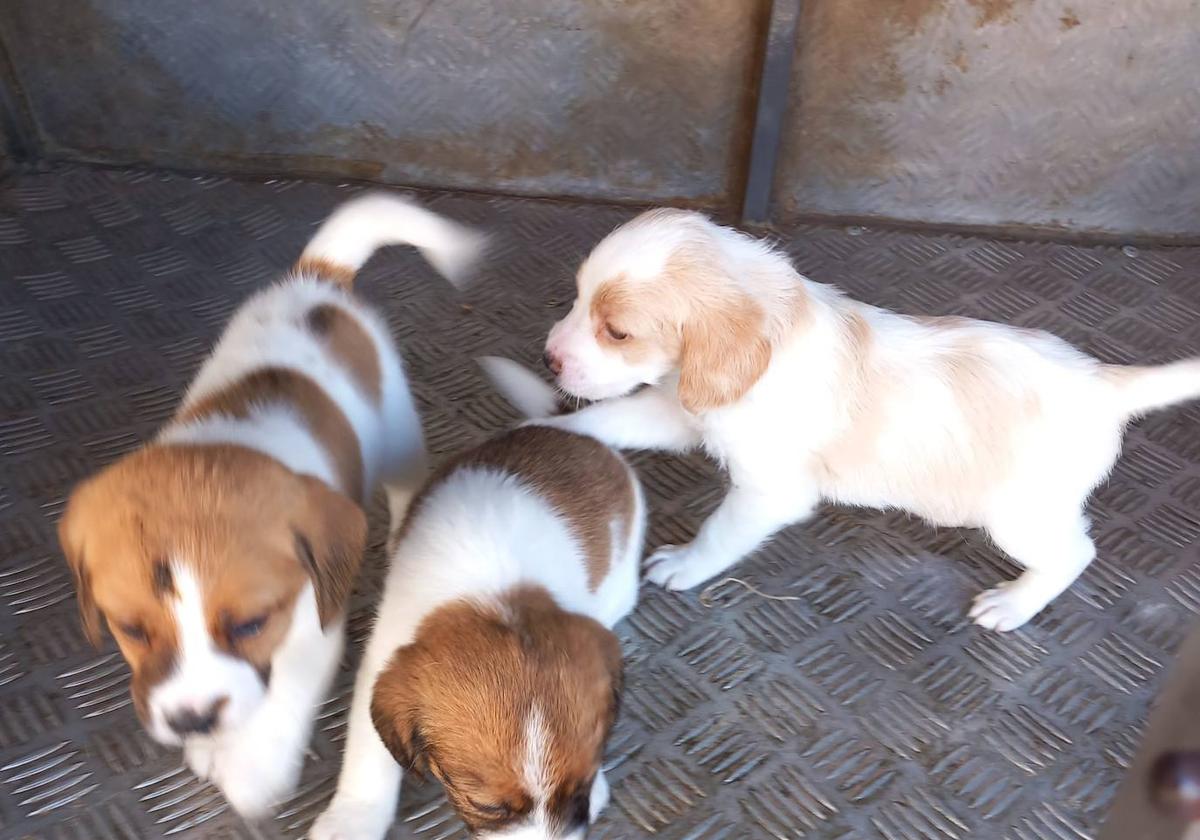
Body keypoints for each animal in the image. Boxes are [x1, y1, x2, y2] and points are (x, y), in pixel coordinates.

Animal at [55, 195, 477, 816]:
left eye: (250, 624)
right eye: (130, 629)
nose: (193, 720)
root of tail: (318, 279)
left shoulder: (311, 625)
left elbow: (283, 698)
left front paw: (253, 771)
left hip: (398, 433)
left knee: (407, 482)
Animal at [309, 360, 648, 840]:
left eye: (578, 791)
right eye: (489, 807)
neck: (494, 593)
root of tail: (569, 428)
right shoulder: (383, 656)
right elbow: (368, 756)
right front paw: (353, 817)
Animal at [542, 208, 1200, 628]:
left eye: (617, 332)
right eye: (575, 297)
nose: (549, 357)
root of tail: (1102, 384)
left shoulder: (769, 491)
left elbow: (717, 534)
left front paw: (683, 565)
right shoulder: (680, 410)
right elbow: (614, 417)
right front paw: (543, 435)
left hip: (1020, 514)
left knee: (1075, 554)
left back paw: (1014, 604)